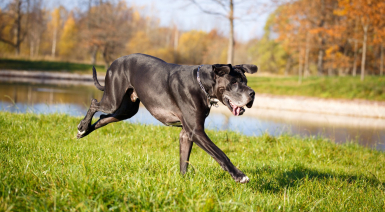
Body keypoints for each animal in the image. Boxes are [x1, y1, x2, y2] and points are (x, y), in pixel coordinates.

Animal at [76, 53, 256, 183]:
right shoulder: (196, 131)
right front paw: (239, 175)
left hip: (126, 111)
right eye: (234, 83)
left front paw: (183, 182)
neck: (201, 84)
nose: (253, 93)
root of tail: (114, 62)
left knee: (103, 118)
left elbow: (184, 161)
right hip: (113, 101)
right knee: (94, 103)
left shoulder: (187, 133)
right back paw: (83, 126)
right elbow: (220, 154)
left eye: (246, 81)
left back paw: (84, 131)